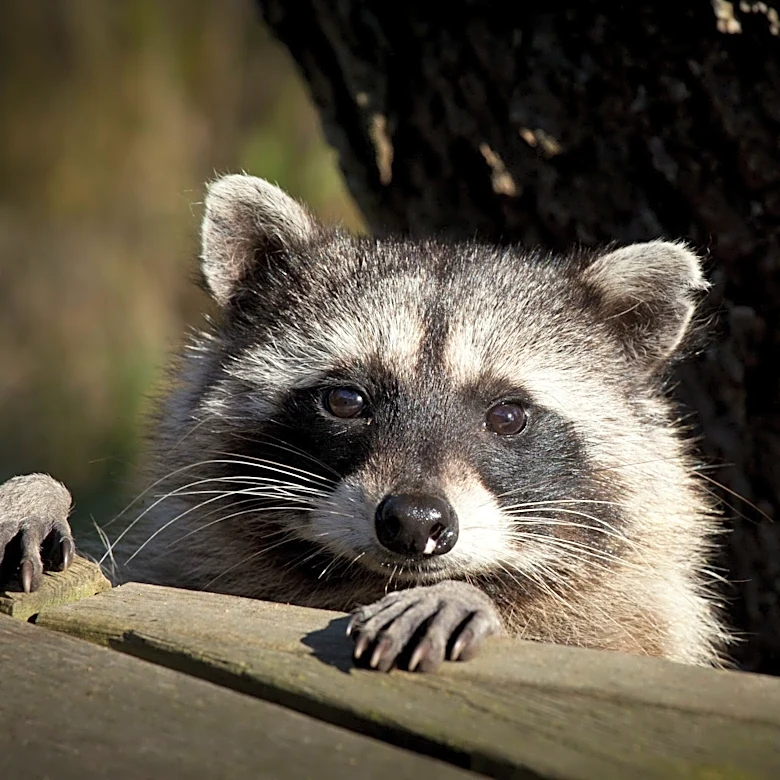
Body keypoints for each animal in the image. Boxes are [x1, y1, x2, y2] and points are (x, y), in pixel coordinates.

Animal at [0, 174, 730, 672]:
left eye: (508, 415)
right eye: (347, 401)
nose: (414, 523)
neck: (363, 583)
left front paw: (467, 596)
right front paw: (38, 495)